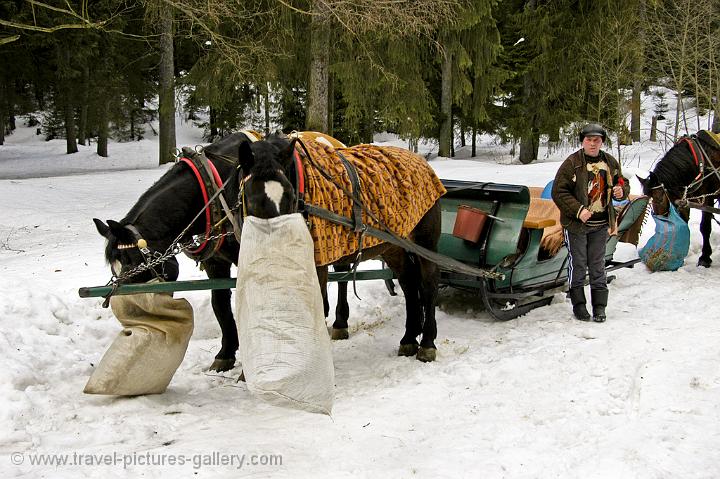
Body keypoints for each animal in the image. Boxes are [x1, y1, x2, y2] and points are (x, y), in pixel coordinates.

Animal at [640, 129, 720, 268]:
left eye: (660, 198)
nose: (663, 219)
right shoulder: (683, 199)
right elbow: (683, 222)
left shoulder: (707, 199)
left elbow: (705, 227)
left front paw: (705, 257)